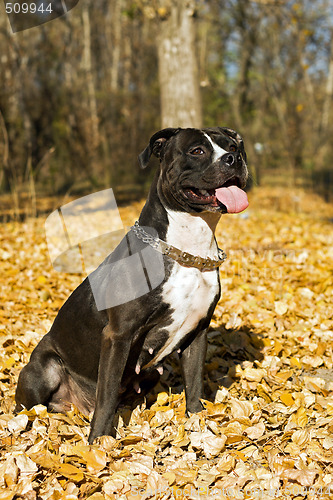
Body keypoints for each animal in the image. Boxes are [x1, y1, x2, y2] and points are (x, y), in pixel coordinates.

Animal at [16, 127, 249, 444]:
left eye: (233, 146)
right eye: (197, 151)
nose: (233, 159)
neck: (187, 249)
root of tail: (76, 407)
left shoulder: (198, 331)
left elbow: (195, 384)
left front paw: (197, 424)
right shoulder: (119, 335)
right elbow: (106, 396)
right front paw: (98, 444)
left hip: (151, 373)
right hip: (44, 369)